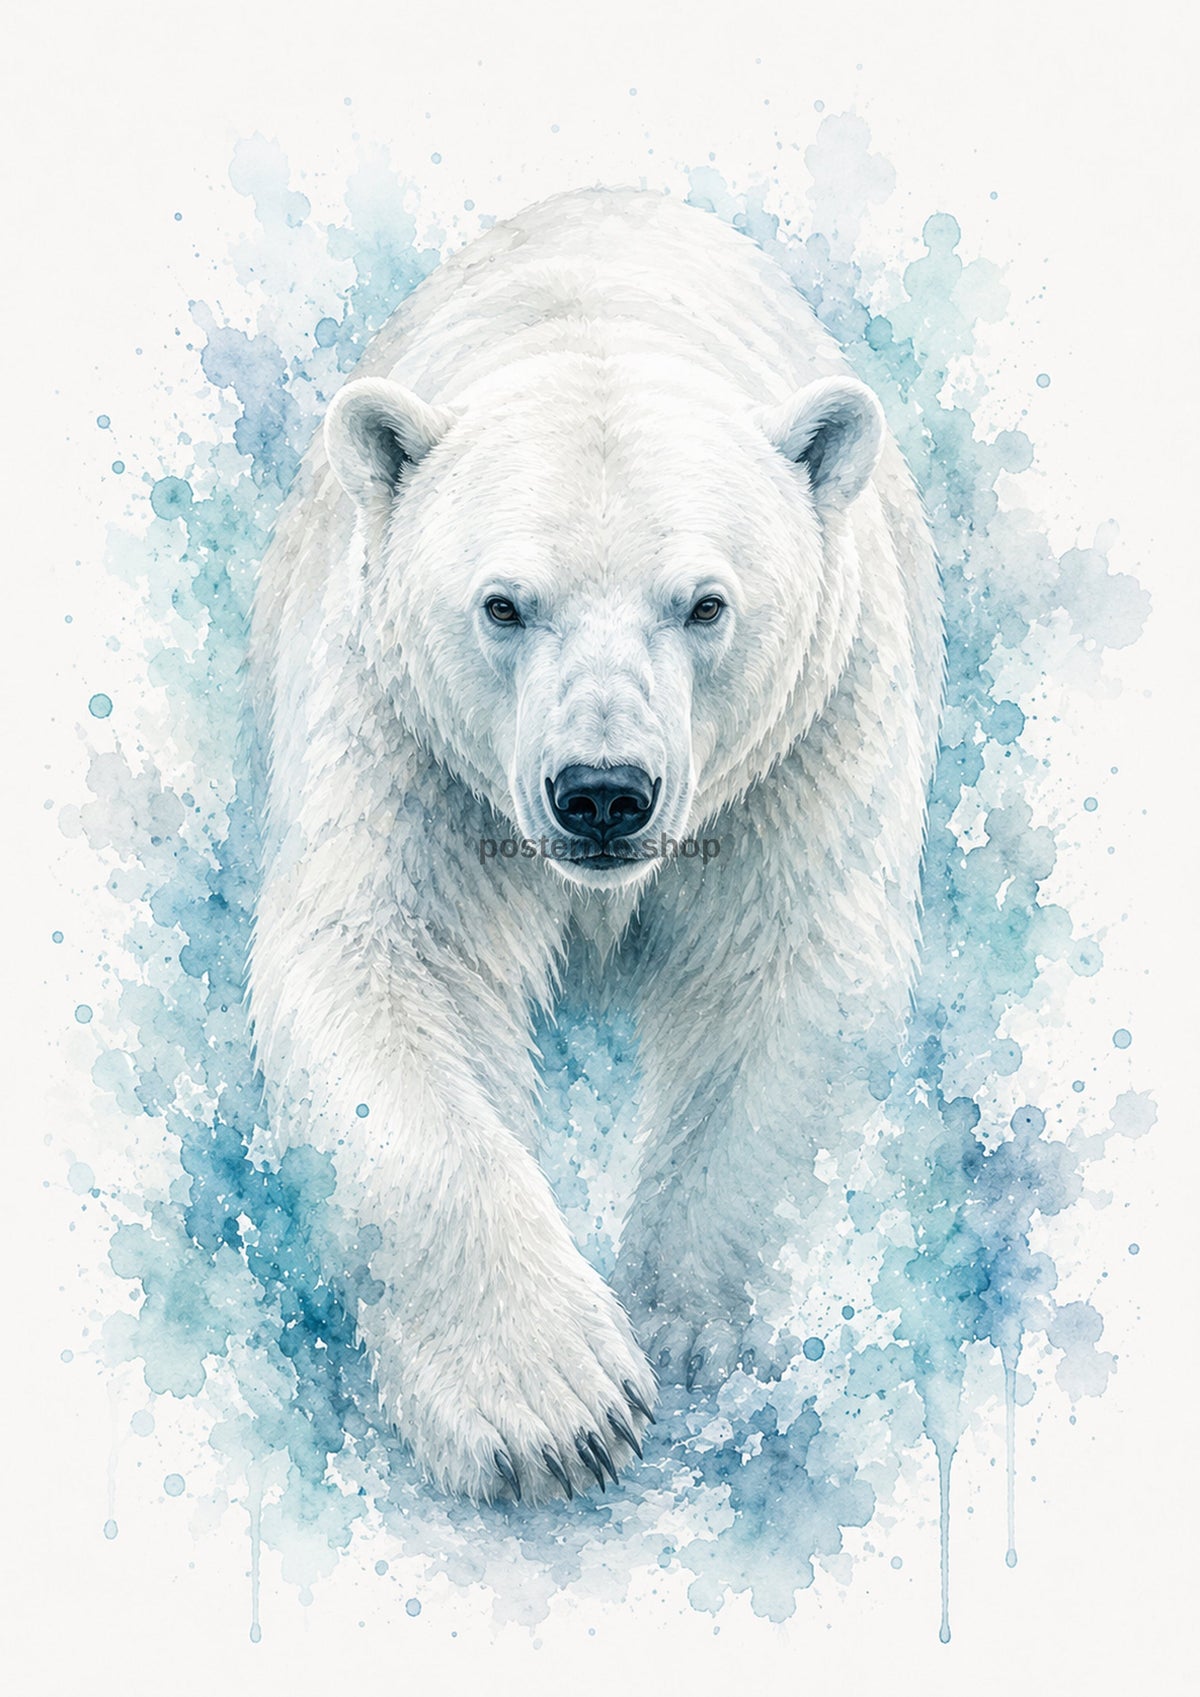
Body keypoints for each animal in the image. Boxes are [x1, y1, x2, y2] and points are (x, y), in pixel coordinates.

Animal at [248, 186, 943, 1506]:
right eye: (503, 603)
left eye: (707, 603)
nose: (603, 794)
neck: (594, 309)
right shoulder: (411, 741)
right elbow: (387, 964)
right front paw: (557, 1411)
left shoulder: (799, 745)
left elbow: (781, 978)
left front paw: (681, 1325)